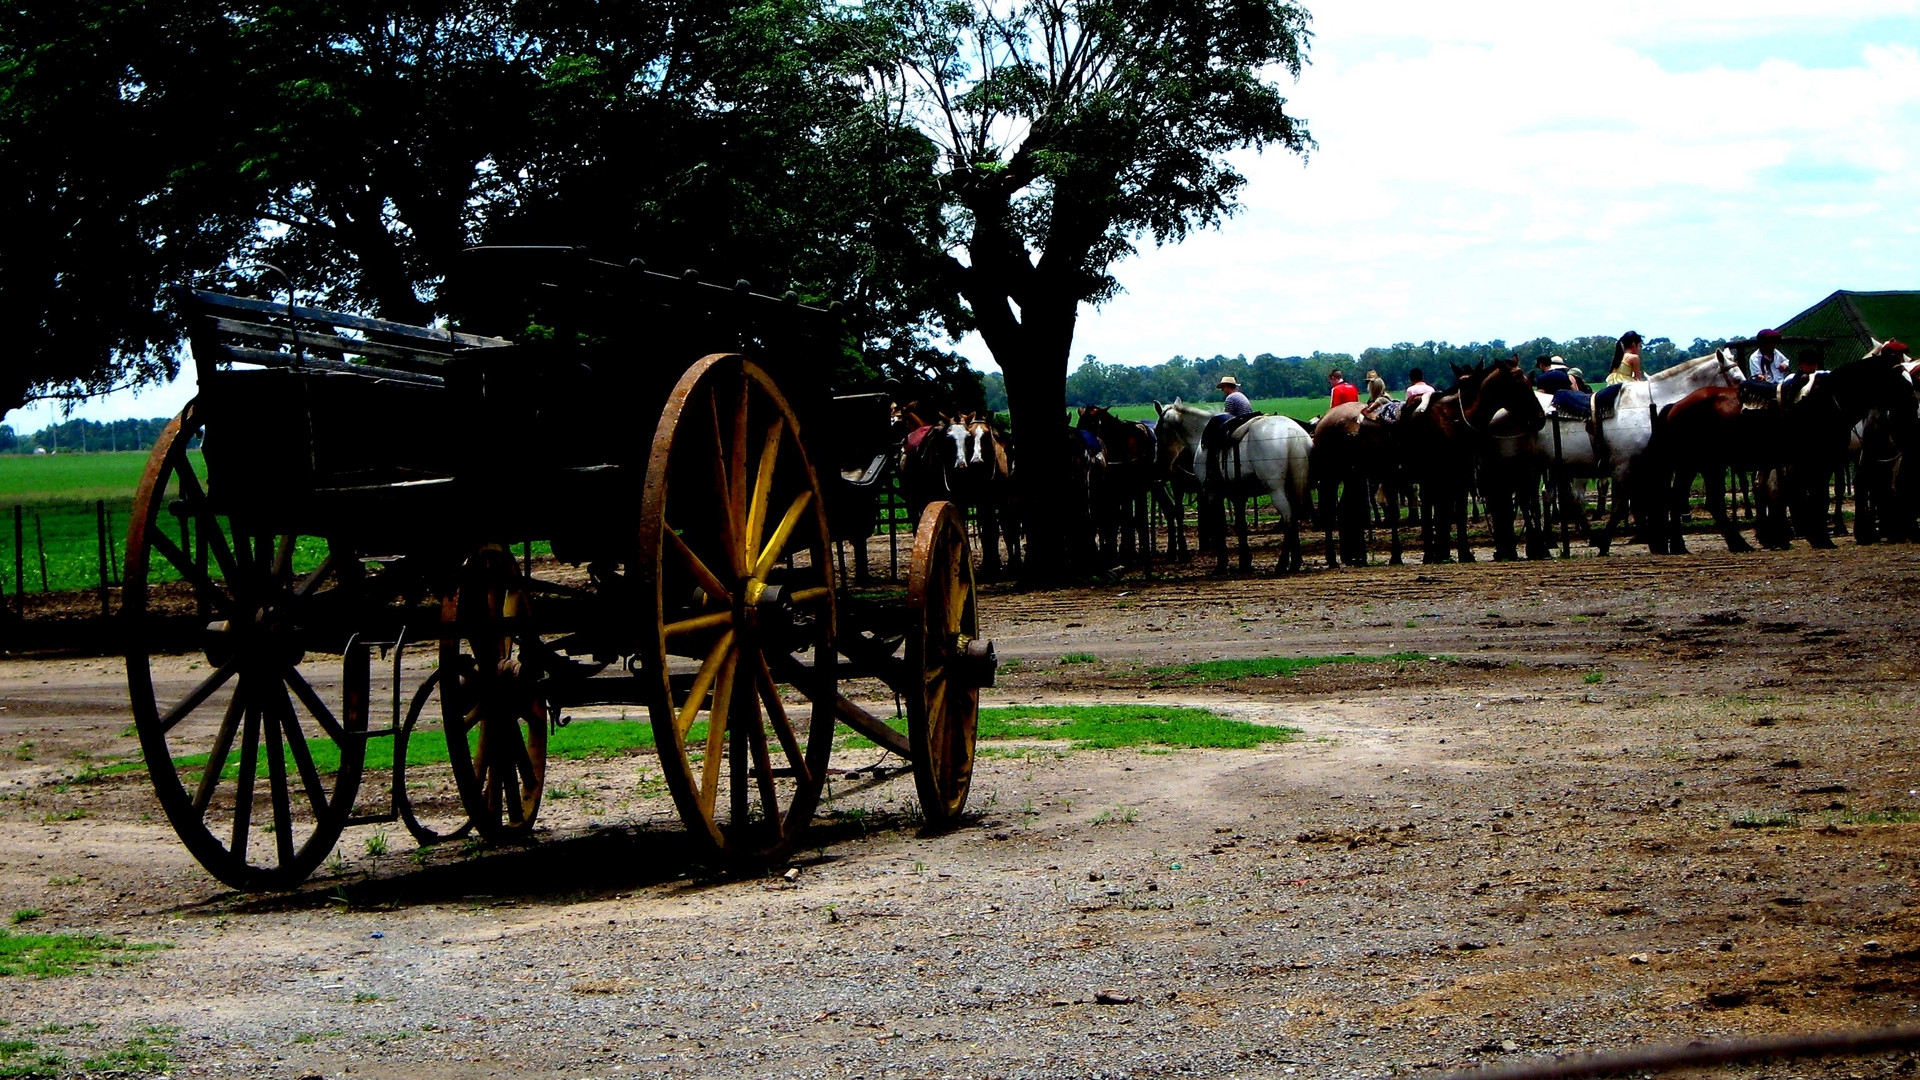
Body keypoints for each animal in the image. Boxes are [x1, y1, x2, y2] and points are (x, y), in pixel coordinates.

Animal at [1144, 399, 1313, 576]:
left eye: (1157, 430)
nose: (1157, 465)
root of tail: (1292, 432)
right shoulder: (1239, 495)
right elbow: (1240, 525)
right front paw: (1245, 562)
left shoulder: (1212, 493)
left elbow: (1220, 525)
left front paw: (1221, 564)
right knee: (1294, 517)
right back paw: (1295, 562)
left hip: (1276, 490)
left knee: (1288, 518)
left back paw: (1282, 563)